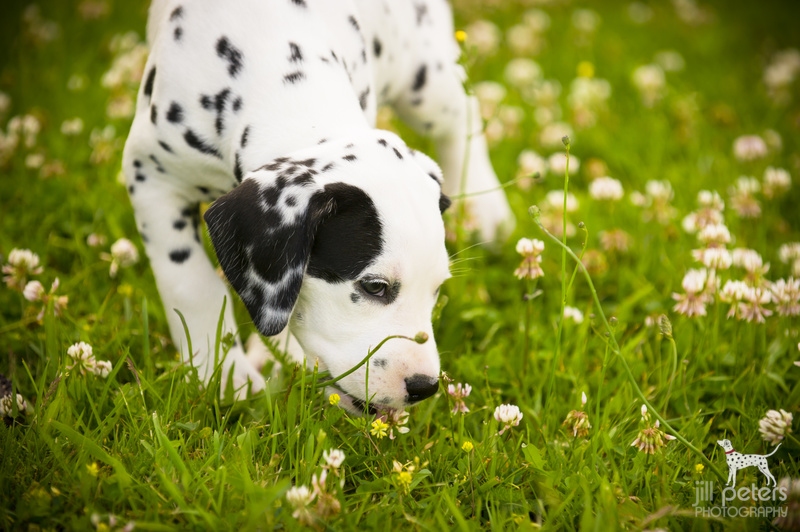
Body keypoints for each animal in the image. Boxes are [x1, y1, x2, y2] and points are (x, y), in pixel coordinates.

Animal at [122, 0, 516, 412]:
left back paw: (488, 208)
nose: (424, 387)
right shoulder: (150, 176)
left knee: (461, 111)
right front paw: (223, 376)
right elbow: (191, 285)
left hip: (422, 74)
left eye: (437, 288)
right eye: (375, 287)